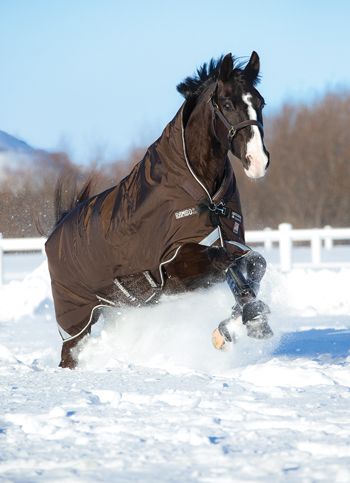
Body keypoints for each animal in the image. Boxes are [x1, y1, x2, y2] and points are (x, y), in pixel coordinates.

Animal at [45, 52, 272, 370]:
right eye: (227, 104)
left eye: (260, 102)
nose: (258, 162)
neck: (202, 192)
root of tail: (58, 226)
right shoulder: (179, 267)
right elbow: (227, 264)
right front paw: (246, 321)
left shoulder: (230, 241)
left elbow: (255, 263)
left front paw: (238, 325)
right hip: (75, 317)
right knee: (69, 354)